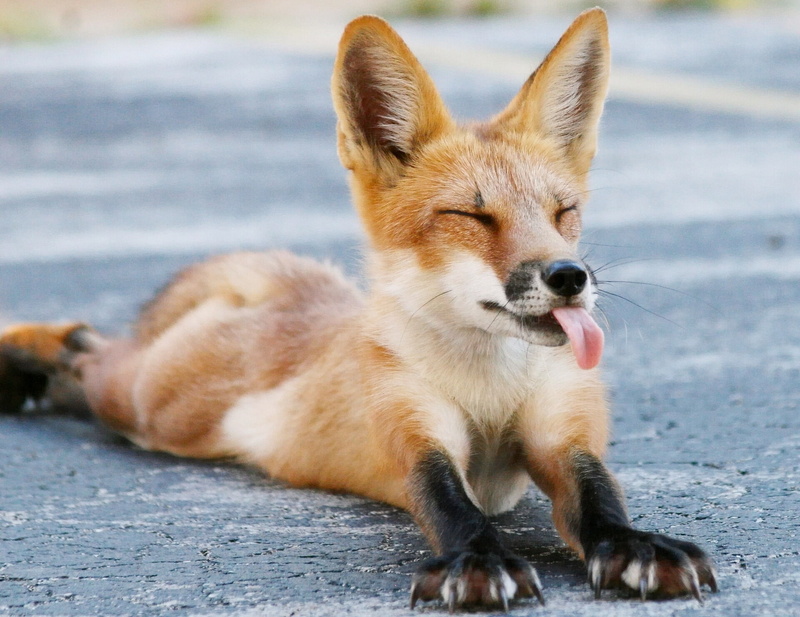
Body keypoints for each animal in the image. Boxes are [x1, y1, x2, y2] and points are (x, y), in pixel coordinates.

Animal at [0, 8, 718, 611]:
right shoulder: (414, 431)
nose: (570, 276)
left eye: (562, 211)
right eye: (471, 217)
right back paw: (30, 358)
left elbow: (600, 497)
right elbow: (450, 501)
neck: (489, 389)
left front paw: (635, 545)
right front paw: (478, 559)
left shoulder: (562, 432)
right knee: (90, 352)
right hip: (152, 408)